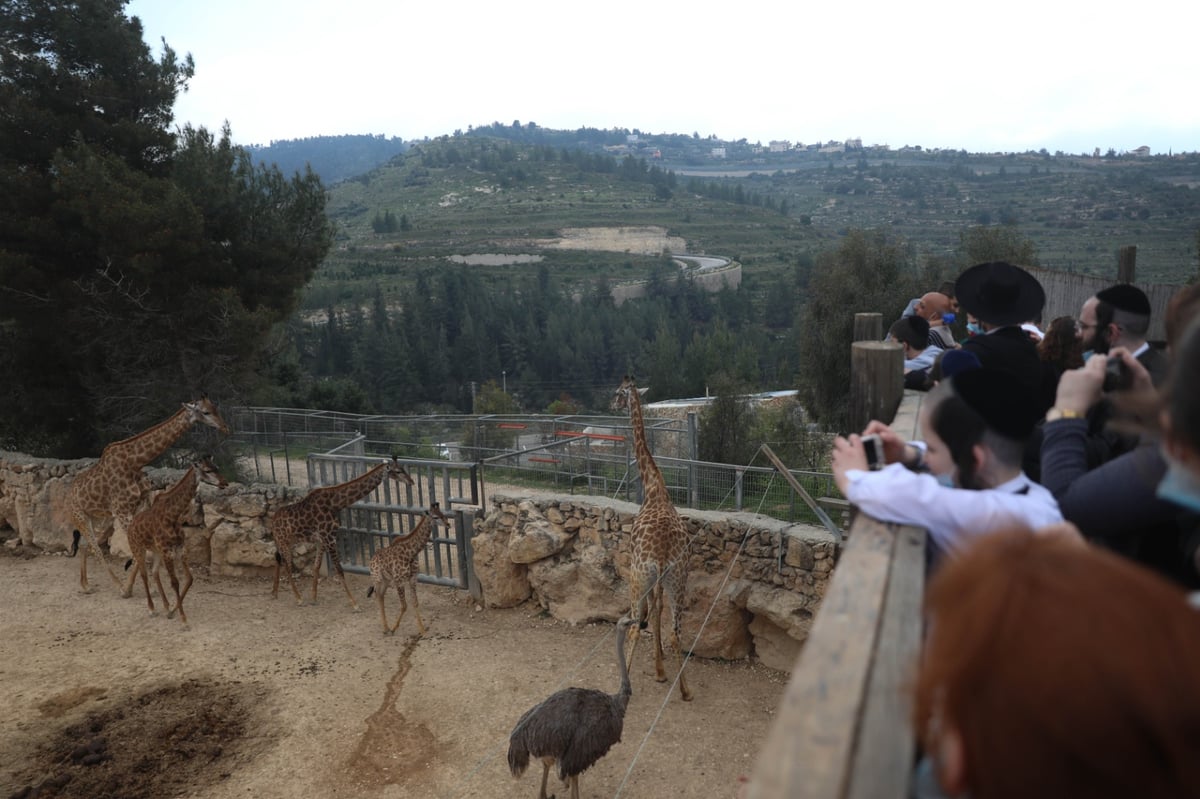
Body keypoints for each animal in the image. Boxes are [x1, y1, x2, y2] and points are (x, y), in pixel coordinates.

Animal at [66, 393, 230, 590]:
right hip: (80, 515)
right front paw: (128, 588)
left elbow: (142, 547)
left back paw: (85, 585)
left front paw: (144, 586)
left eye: (215, 408)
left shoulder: (139, 504)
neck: (134, 462)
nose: (225, 427)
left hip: (96, 516)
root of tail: (69, 494)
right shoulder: (122, 510)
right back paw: (117, 586)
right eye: (205, 412)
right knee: (95, 547)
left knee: (85, 544)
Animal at [121, 453, 226, 628]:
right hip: (138, 548)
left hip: (155, 551)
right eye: (207, 470)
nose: (225, 483)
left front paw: (173, 610)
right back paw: (152, 609)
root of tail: (130, 527)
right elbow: (175, 582)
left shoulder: (180, 549)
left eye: (217, 467)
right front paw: (183, 620)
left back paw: (166, 606)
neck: (173, 516)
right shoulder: (168, 551)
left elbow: (189, 579)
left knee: (154, 572)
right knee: (144, 573)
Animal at [272, 458, 417, 607]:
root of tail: (272, 521)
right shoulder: (329, 537)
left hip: (287, 540)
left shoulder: (321, 539)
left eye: (402, 468)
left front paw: (314, 598)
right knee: (287, 565)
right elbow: (339, 570)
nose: (411, 481)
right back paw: (298, 598)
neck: (335, 504)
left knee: (277, 558)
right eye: (398, 471)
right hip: (283, 540)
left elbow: (316, 567)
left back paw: (275, 593)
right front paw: (354, 603)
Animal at [364, 499, 451, 633]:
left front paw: (422, 631)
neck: (411, 553)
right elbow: (404, 606)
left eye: (443, 513)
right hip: (377, 578)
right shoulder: (399, 581)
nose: (448, 524)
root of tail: (372, 559)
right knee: (378, 595)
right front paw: (394, 628)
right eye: (435, 516)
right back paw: (386, 628)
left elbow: (415, 602)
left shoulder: (413, 578)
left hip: (386, 580)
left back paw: (386, 626)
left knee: (381, 595)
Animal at [609, 374, 696, 695]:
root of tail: (660, 556)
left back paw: (625, 682)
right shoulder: (662, 582)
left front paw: (658, 669)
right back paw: (684, 690)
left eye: (618, 392)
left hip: (640, 576)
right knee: (675, 630)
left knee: (634, 625)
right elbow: (658, 613)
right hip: (678, 579)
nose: (610, 405)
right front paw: (661, 669)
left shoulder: (642, 575)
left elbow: (647, 615)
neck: (654, 486)